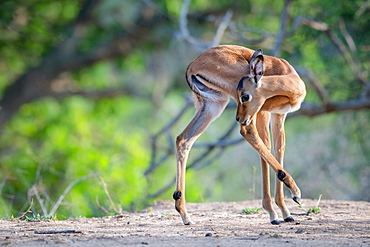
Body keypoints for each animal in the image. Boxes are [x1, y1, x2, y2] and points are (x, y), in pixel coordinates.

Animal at [173, 44, 306, 224]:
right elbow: (266, 147)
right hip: (240, 113)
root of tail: (193, 64)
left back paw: (184, 215)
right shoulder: (263, 112)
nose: (237, 118)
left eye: (245, 95)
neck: (288, 75)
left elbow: (279, 149)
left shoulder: (279, 115)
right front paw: (277, 209)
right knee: (247, 132)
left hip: (213, 106)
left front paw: (285, 211)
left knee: (183, 140)